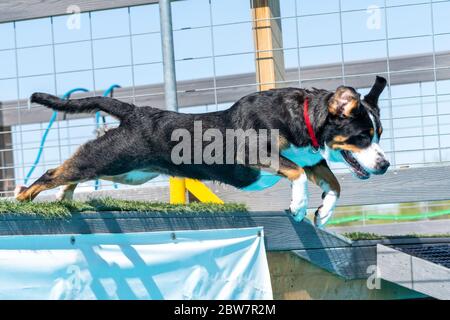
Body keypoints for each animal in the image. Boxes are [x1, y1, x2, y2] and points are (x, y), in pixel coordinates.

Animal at [15, 76, 390, 226]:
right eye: (362, 136)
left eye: (379, 133)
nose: (385, 165)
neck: (305, 119)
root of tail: (135, 111)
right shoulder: (257, 155)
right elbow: (295, 173)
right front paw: (299, 207)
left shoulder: (312, 159)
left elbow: (334, 183)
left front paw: (322, 213)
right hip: (111, 157)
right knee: (52, 173)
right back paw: (20, 200)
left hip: (125, 171)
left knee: (70, 172)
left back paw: (65, 198)